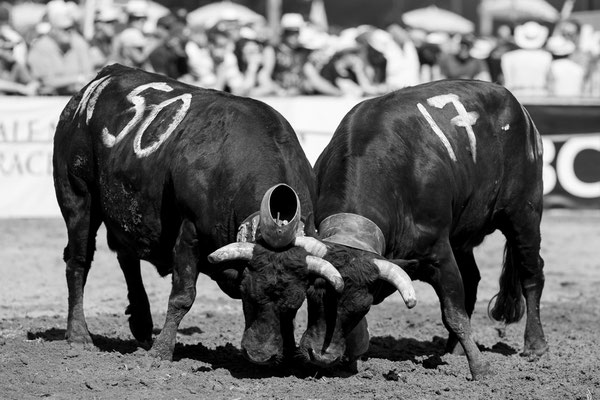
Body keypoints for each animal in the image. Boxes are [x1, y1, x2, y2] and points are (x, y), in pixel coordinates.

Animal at [52, 65, 342, 366]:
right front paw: (162, 351)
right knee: (78, 262)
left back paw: (141, 324)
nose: (262, 355)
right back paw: (79, 335)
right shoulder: (189, 231)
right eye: (248, 295)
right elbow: (183, 296)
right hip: (78, 197)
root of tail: (102, 77)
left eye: (295, 304)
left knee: (127, 257)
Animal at [300, 79, 548, 382]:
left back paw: (535, 345)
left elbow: (453, 313)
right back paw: (453, 350)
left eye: (361, 306)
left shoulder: (439, 253)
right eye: (312, 295)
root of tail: (518, 107)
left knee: (531, 273)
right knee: (473, 279)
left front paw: (480, 368)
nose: (319, 356)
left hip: (524, 213)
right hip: (463, 235)